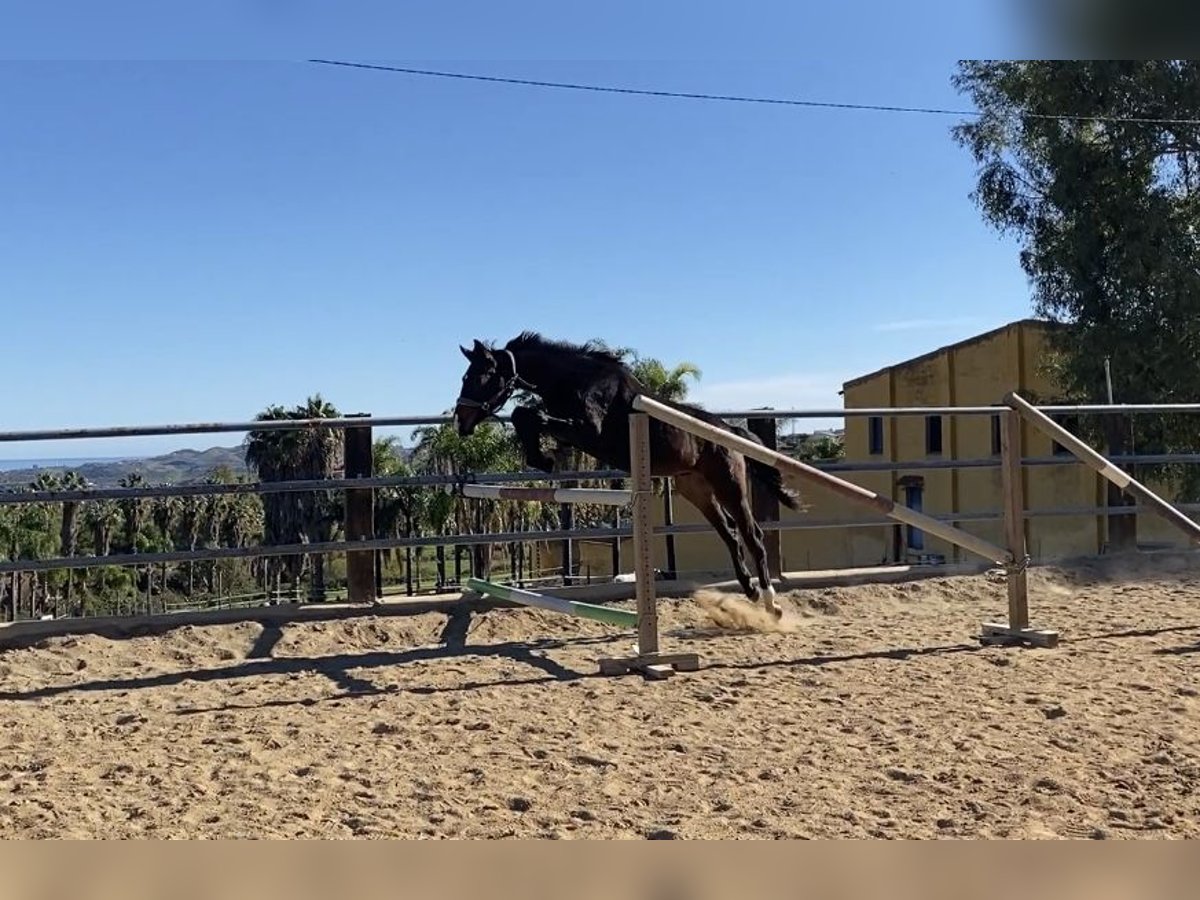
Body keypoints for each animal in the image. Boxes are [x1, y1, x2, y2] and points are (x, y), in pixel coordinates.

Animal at [452, 332, 802, 616]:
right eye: (466, 375)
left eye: (480, 376)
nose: (461, 421)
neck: (576, 380)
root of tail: (730, 430)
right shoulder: (572, 435)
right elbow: (525, 415)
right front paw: (543, 459)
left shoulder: (587, 431)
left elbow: (528, 414)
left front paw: (544, 459)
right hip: (696, 488)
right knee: (729, 533)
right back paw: (749, 590)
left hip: (729, 483)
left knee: (752, 535)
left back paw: (770, 603)